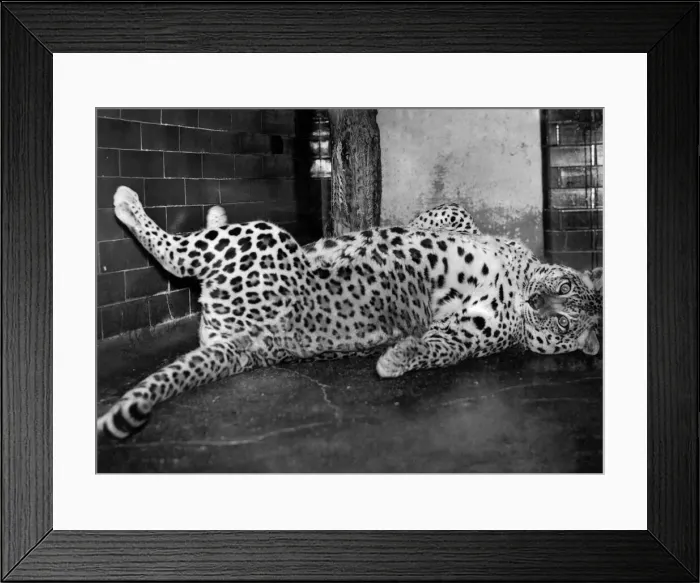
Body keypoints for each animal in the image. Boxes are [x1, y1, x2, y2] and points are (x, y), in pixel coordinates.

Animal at [97, 186, 603, 440]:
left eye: (563, 320)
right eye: (563, 290)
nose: (536, 303)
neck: (520, 281)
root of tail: (258, 343)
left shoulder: (472, 333)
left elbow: (439, 347)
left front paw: (395, 360)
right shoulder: (464, 227)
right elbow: (443, 215)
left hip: (259, 237)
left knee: (176, 256)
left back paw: (129, 204)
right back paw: (209, 213)